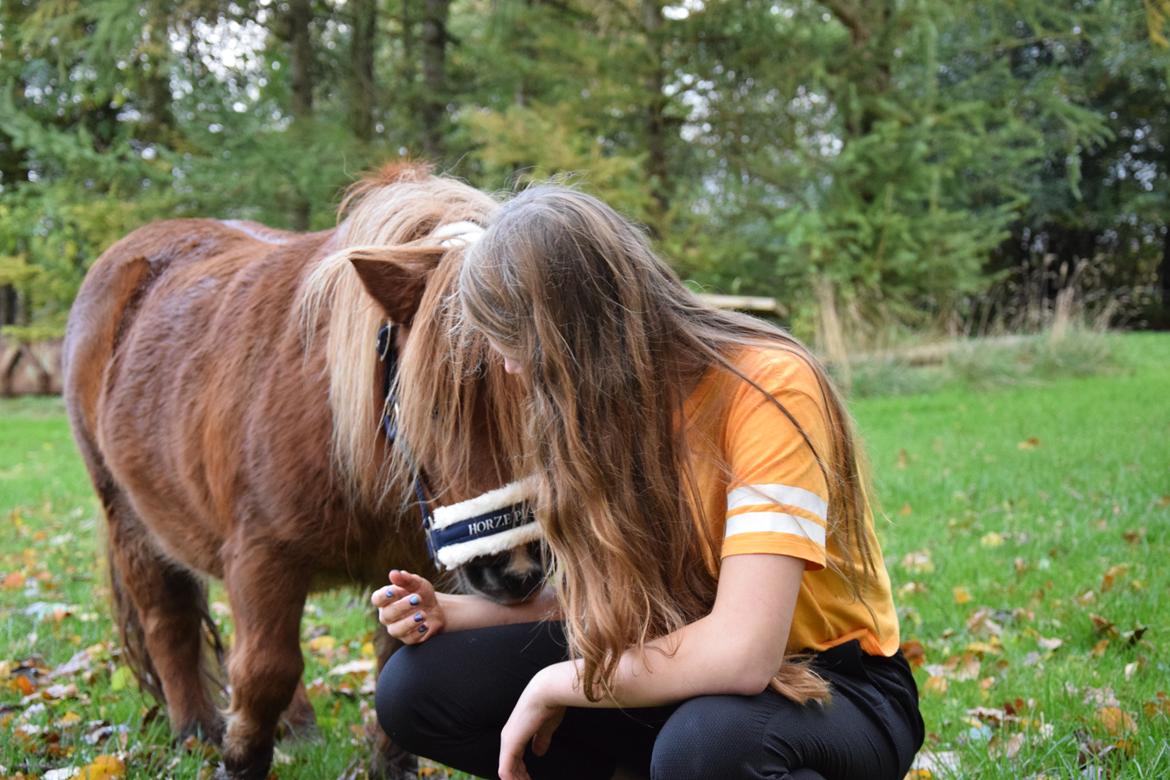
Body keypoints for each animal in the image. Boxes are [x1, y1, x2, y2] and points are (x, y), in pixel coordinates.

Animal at [59, 161, 538, 776]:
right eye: (433, 407)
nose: (518, 571)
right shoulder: (261, 554)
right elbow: (264, 669)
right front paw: (240, 757)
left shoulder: (413, 567)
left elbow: (399, 655)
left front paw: (389, 763)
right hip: (130, 521)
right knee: (170, 622)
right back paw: (195, 732)